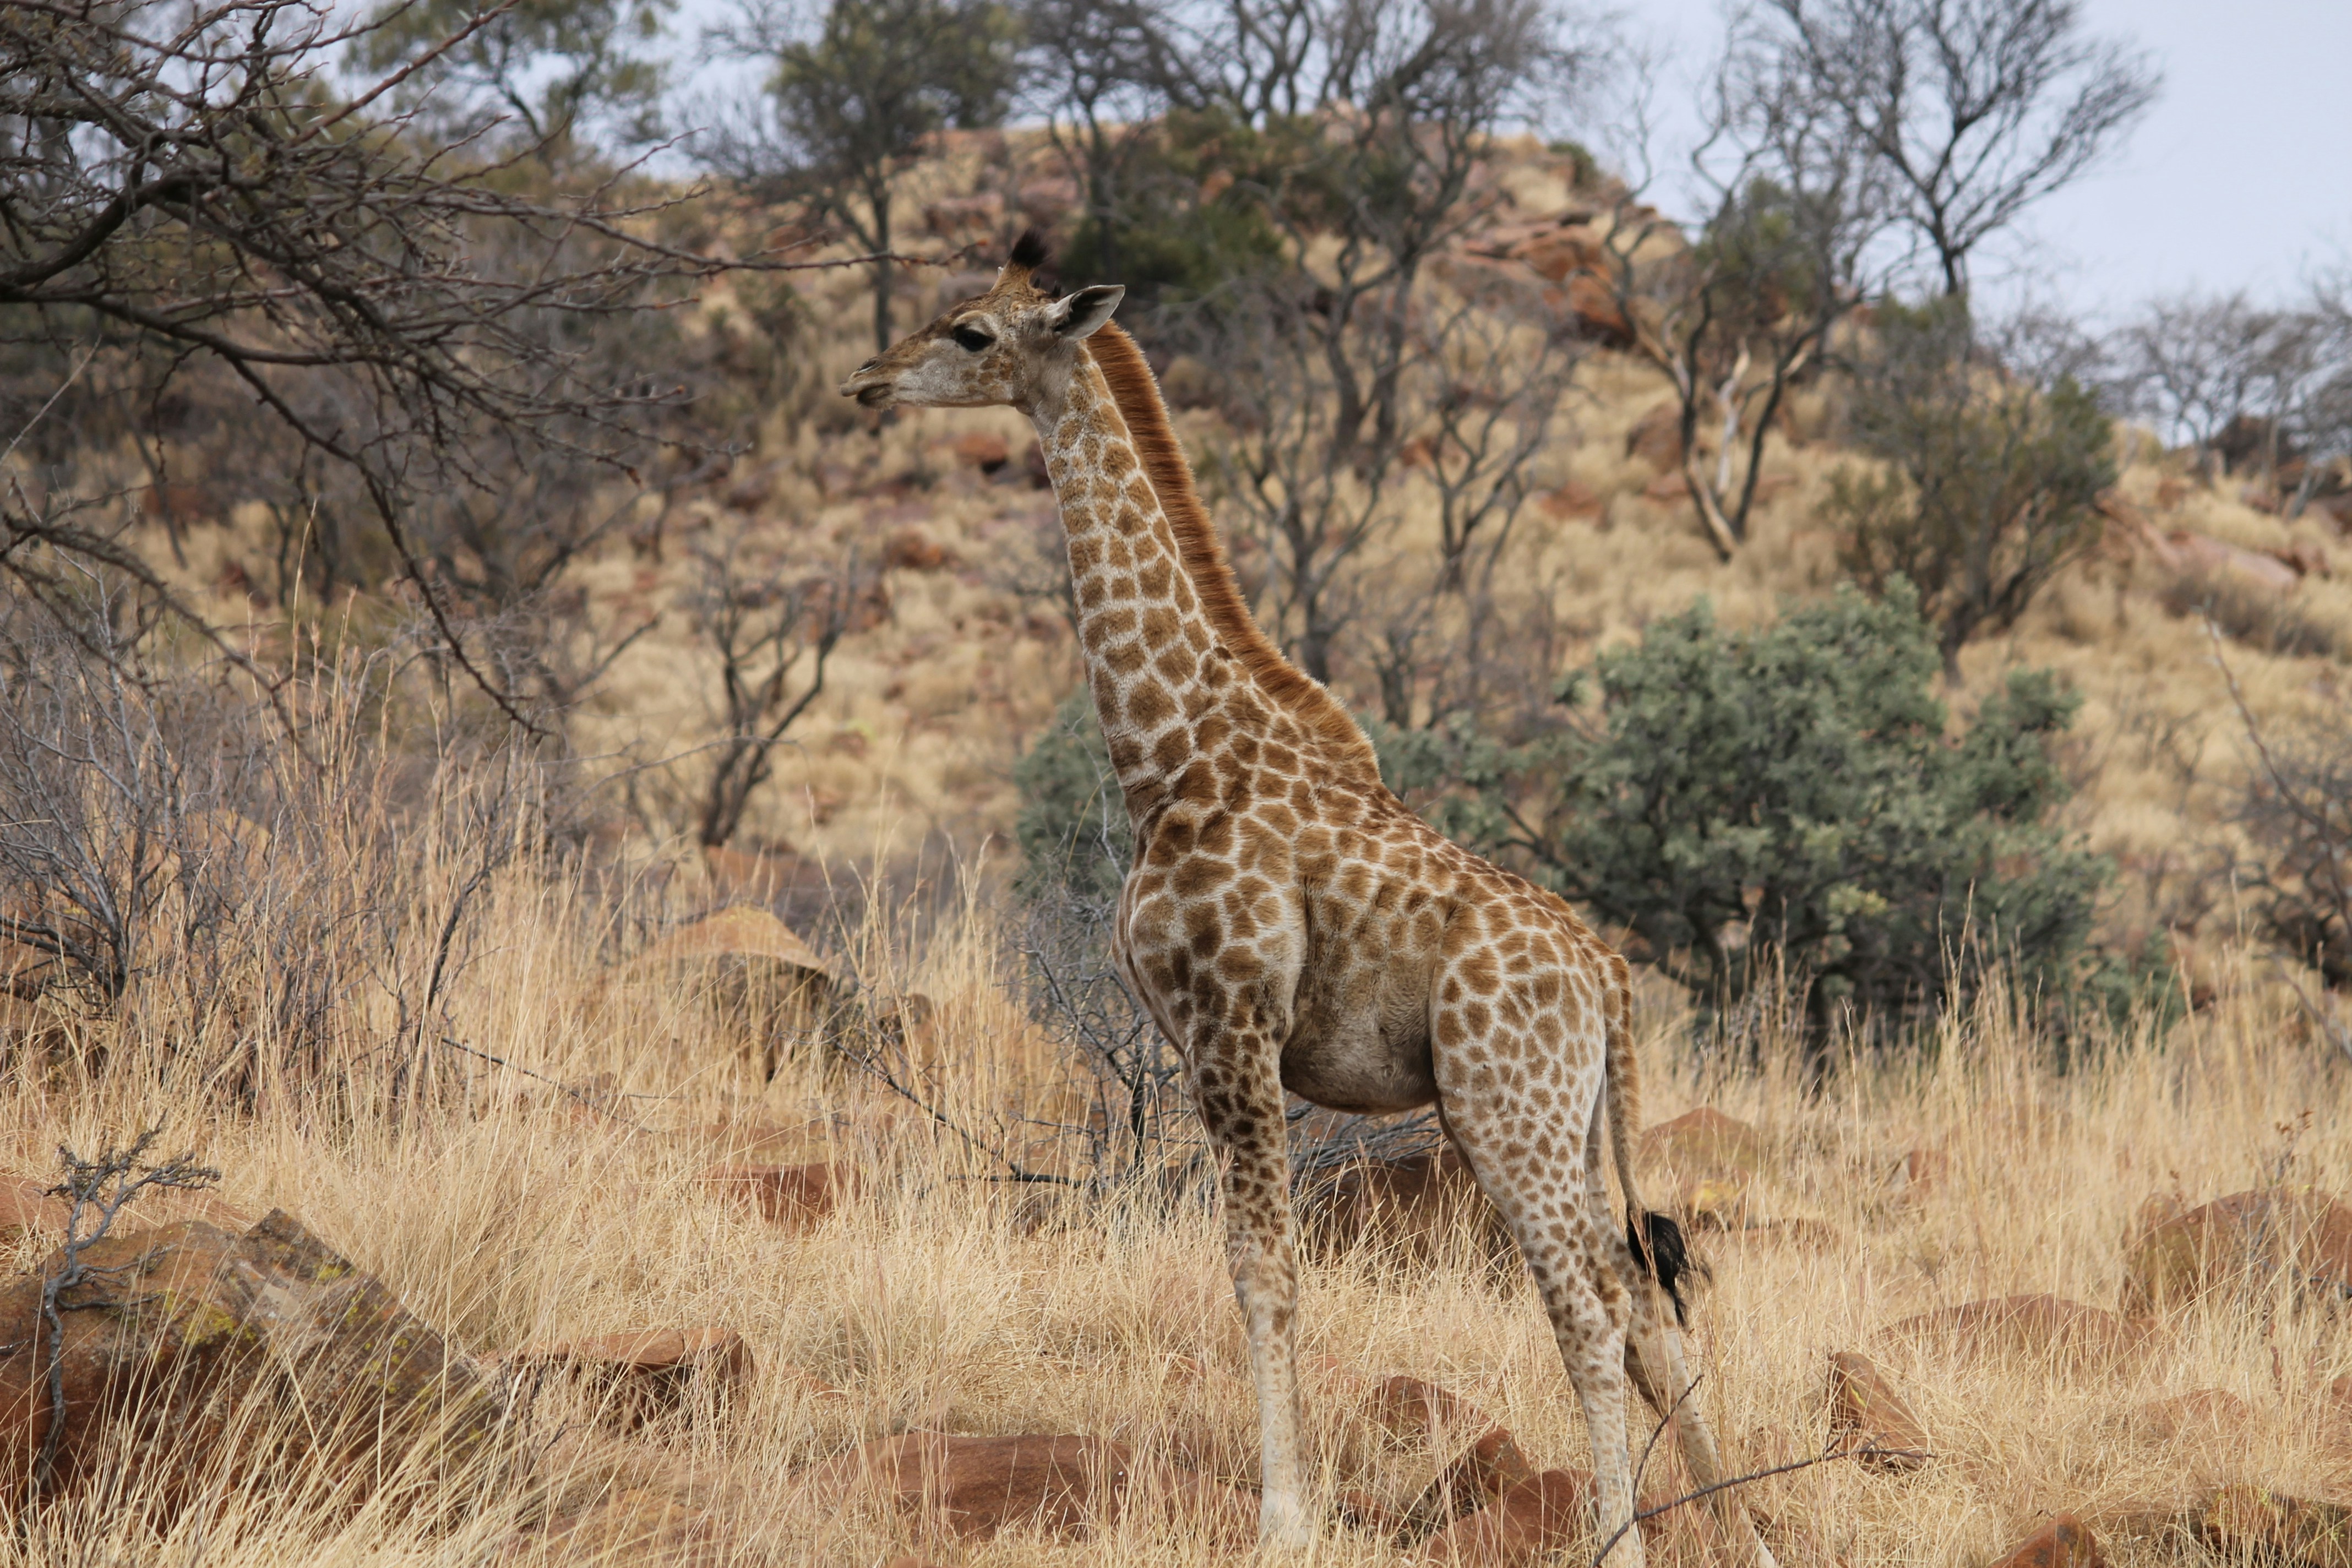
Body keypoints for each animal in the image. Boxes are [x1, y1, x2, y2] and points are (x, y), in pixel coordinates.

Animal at [837, 236, 1768, 1568]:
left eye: (971, 332)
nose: (866, 377)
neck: (1169, 752)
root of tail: (1608, 975)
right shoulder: (1209, 1044)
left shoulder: (1230, 1027)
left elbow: (1263, 1270)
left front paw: (1284, 1516)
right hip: (1573, 1118)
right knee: (1646, 1298)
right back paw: (1742, 1534)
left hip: (1504, 1113)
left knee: (1588, 1309)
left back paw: (1618, 1540)